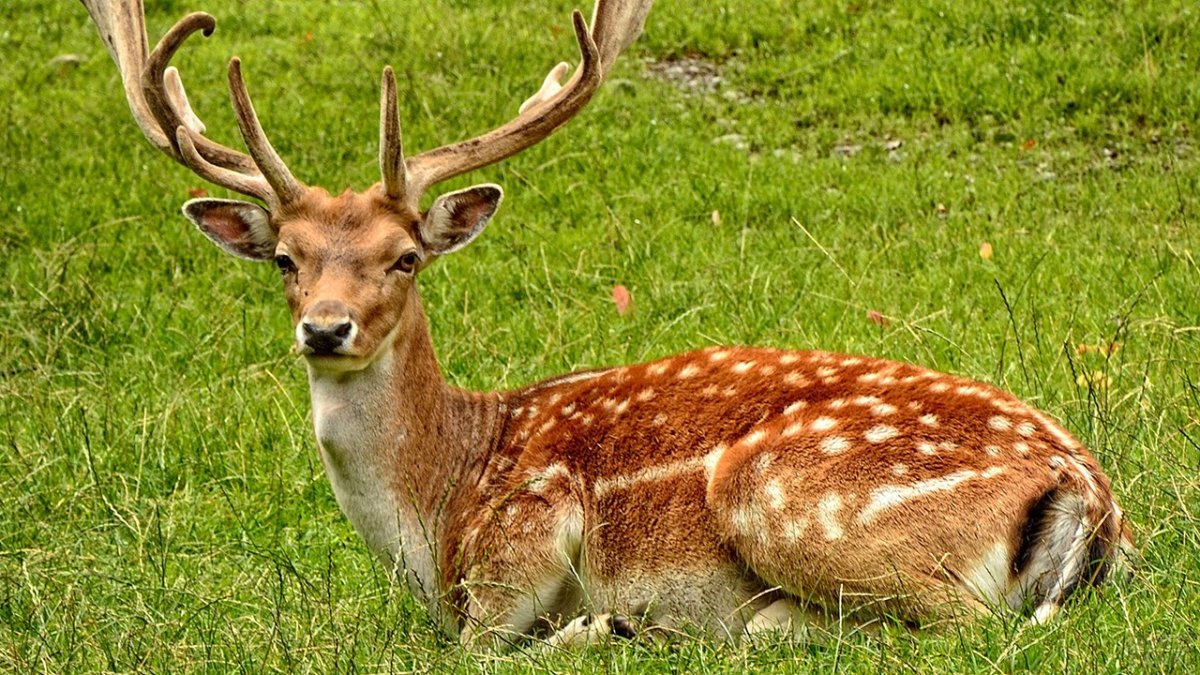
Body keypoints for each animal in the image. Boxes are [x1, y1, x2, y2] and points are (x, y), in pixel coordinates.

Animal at [80, 0, 1132, 651]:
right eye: (287, 259)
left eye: (405, 256)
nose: (327, 329)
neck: (438, 505)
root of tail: (1091, 493)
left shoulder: (525, 529)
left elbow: (479, 647)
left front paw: (596, 624)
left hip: (784, 494)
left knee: (960, 625)